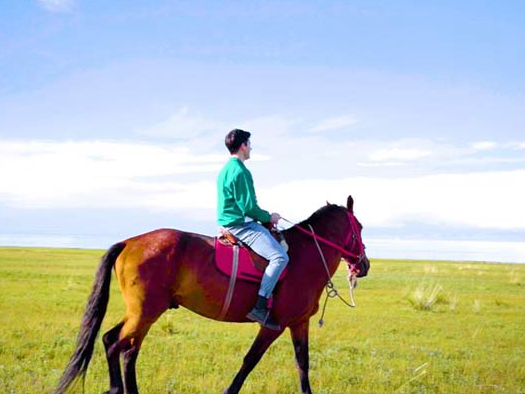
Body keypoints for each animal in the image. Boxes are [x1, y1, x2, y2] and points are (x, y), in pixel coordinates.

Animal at [53, 195, 368, 392]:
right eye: (361, 228)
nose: (363, 265)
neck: (304, 256)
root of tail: (129, 242)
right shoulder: (273, 326)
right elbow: (250, 361)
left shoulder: (298, 324)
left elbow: (302, 364)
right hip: (144, 312)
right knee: (114, 343)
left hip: (144, 313)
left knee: (127, 349)